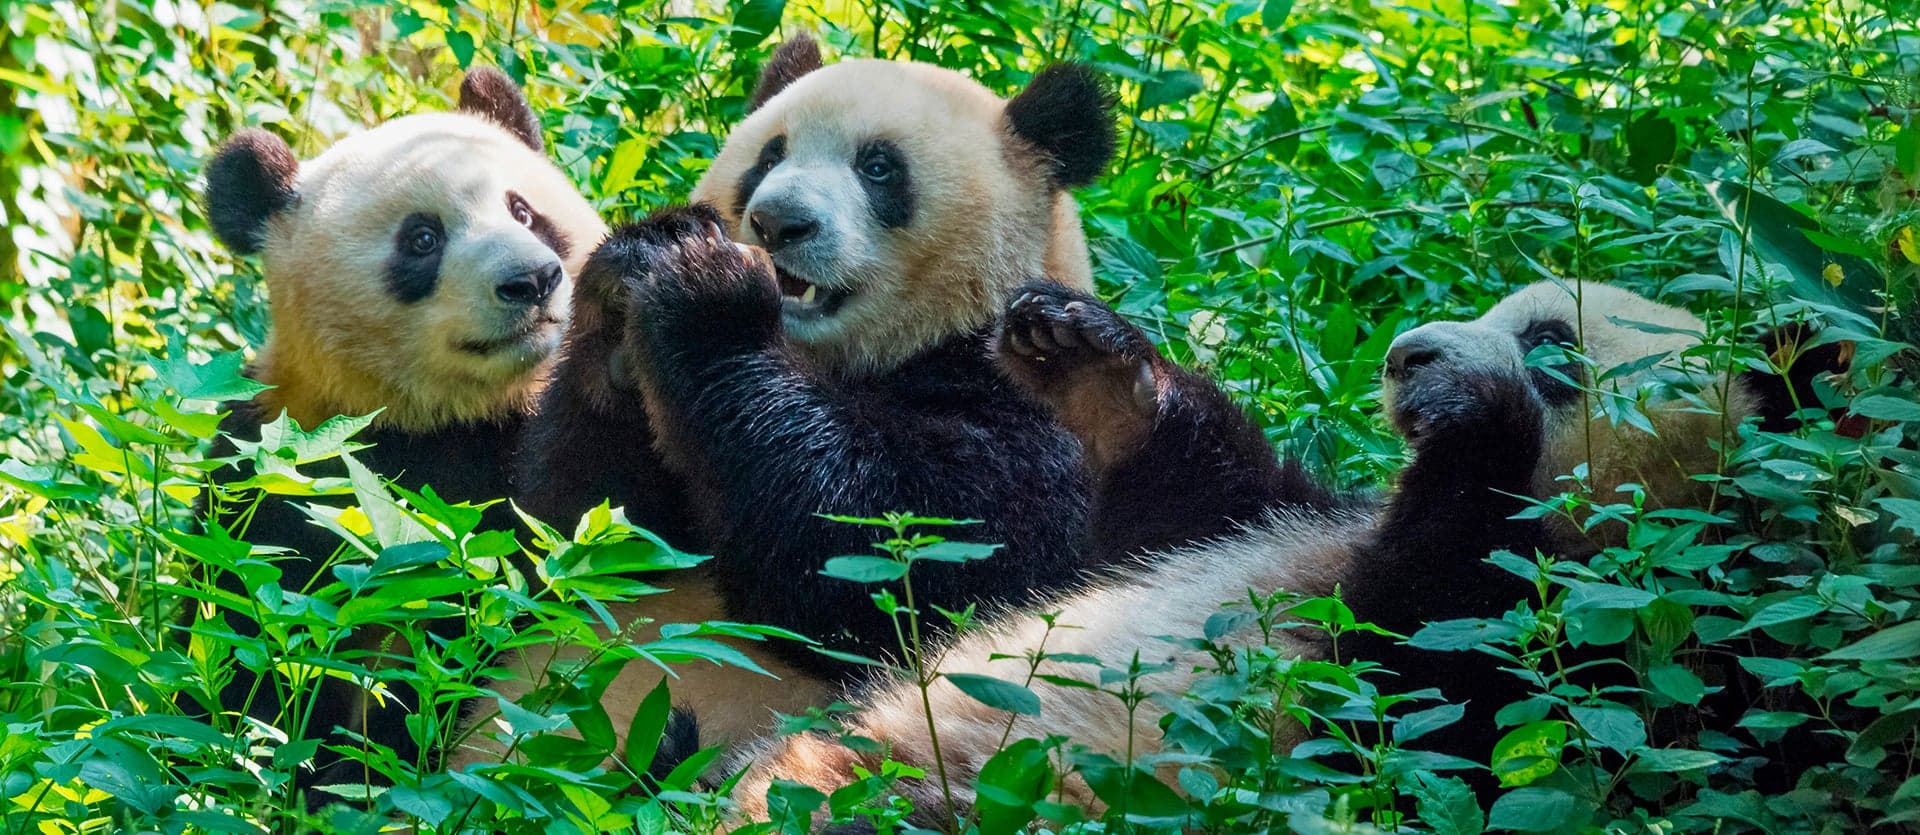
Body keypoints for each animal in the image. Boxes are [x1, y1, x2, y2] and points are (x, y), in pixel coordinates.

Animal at [193, 68, 607, 795]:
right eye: (422, 238)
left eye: (524, 212)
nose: (533, 280)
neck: (442, 417)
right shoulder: (281, 469)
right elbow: (251, 645)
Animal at [457, 36, 1119, 773]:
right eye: (770, 157)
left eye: (878, 167)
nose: (778, 223)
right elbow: (581, 533)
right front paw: (640, 266)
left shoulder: (1035, 420)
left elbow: (879, 559)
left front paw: (705, 292)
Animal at [721, 279, 1851, 822]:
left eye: (1553, 344)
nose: (1408, 355)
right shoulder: (1294, 521)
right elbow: (1198, 503)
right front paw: (1089, 356)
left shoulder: (1617, 671)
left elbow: (1421, 696)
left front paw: (1474, 411)